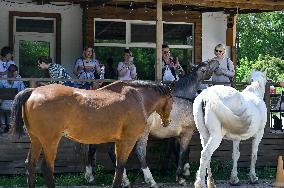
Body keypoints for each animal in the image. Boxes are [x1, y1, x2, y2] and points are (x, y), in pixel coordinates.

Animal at [9, 81, 173, 188]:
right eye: (171, 100)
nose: (167, 121)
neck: (138, 97)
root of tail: (33, 91)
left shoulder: (118, 141)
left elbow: (118, 167)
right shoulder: (128, 140)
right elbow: (120, 167)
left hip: (36, 140)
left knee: (30, 165)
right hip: (50, 141)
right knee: (46, 168)